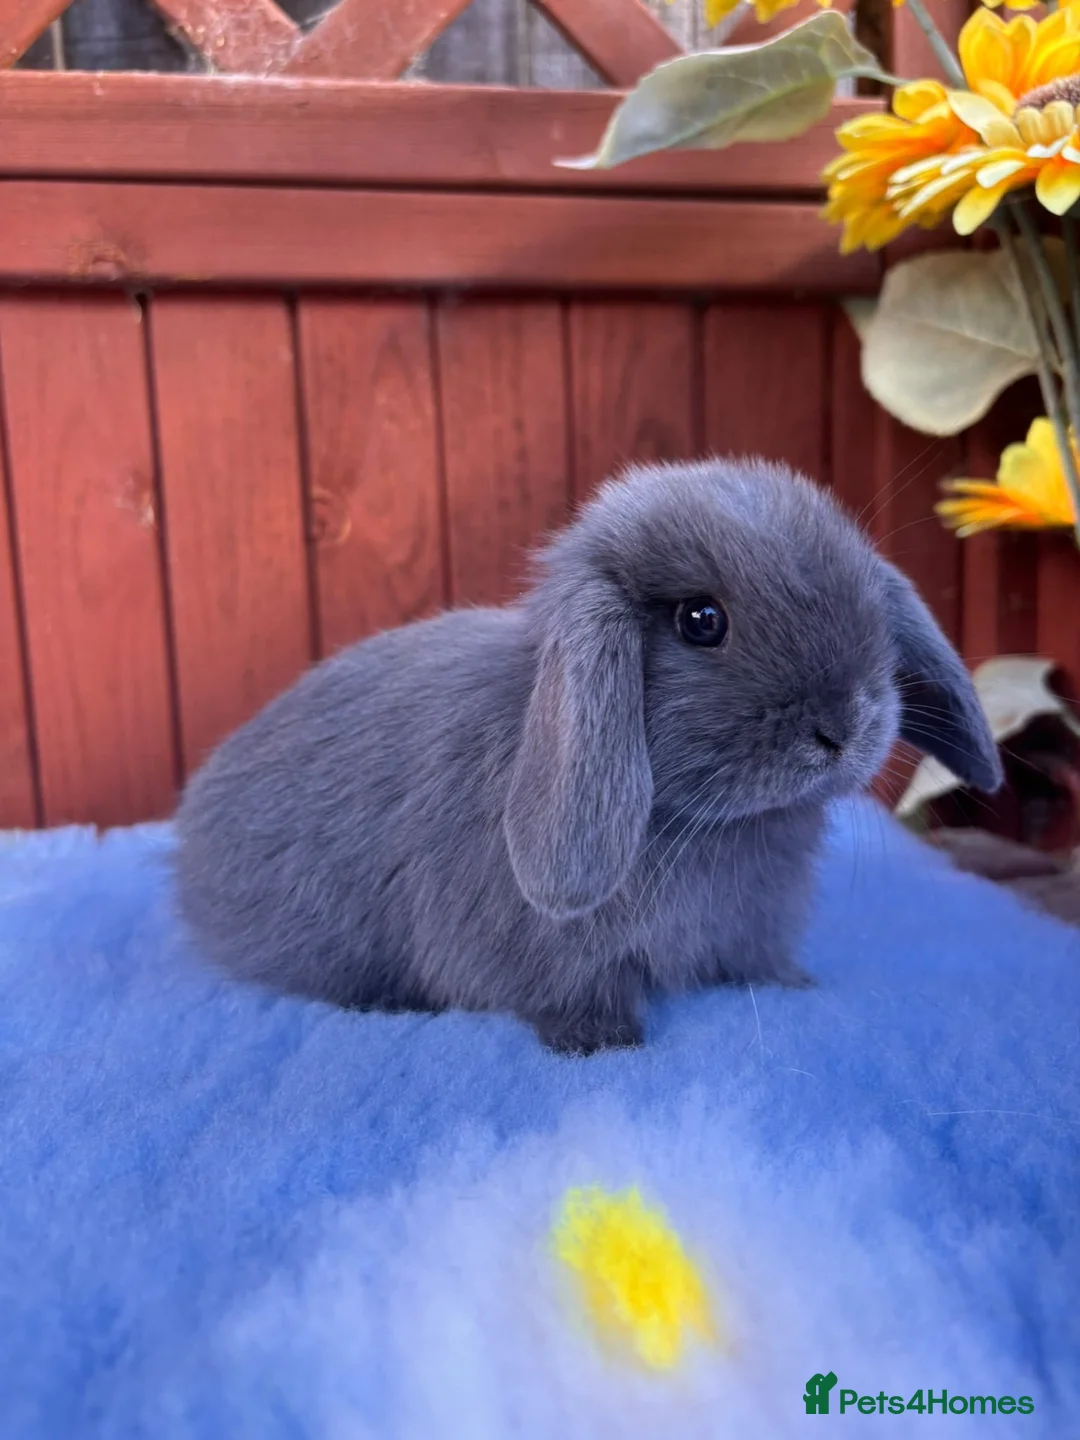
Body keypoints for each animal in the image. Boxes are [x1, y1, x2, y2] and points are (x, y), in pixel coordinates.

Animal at [173, 457, 1002, 1055]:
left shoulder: (751, 928)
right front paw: (603, 1043)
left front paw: (796, 986)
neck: (701, 826)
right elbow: (572, 997)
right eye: (701, 620)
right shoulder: (546, 957)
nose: (845, 725)